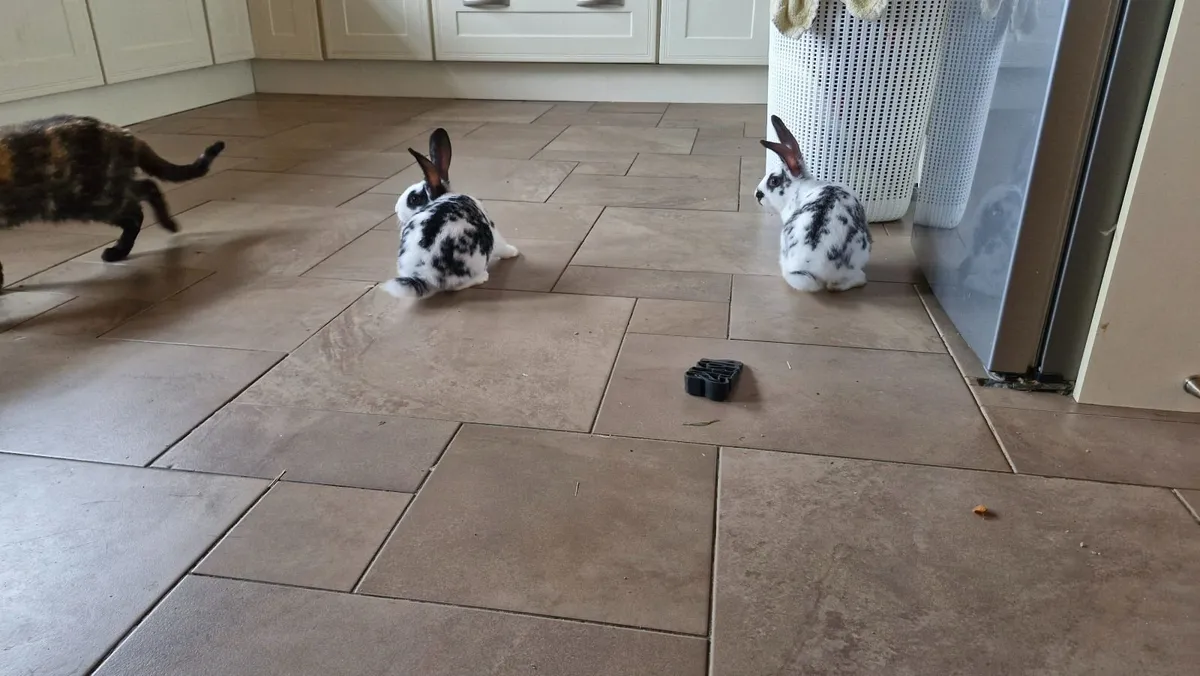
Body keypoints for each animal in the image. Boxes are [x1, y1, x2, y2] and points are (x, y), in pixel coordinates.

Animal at [382, 128, 519, 299]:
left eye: (414, 198)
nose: (395, 209)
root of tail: (425, 275)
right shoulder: (493, 230)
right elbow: (502, 246)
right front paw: (513, 251)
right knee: (456, 287)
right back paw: (482, 277)